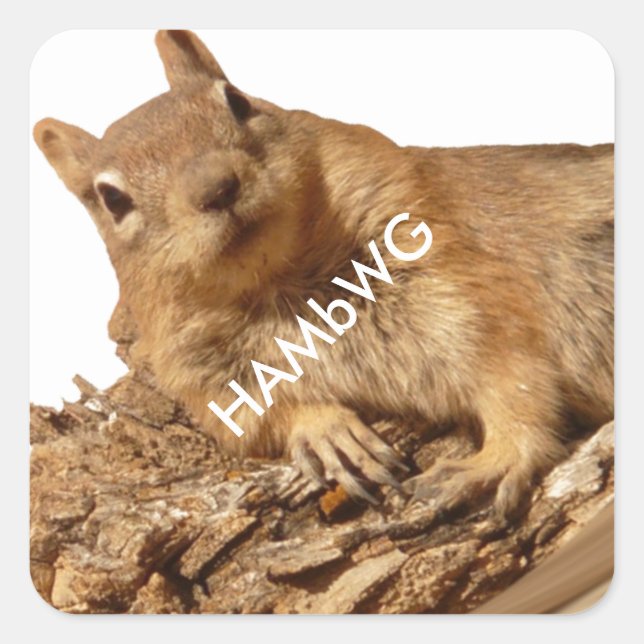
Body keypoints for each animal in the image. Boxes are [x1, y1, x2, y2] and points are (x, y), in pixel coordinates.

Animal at [33, 30, 614, 517]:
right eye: (112, 198)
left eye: (237, 101)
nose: (216, 187)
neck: (283, 285)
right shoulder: (208, 383)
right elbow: (261, 423)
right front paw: (325, 431)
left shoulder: (466, 291)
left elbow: (515, 379)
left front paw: (496, 459)